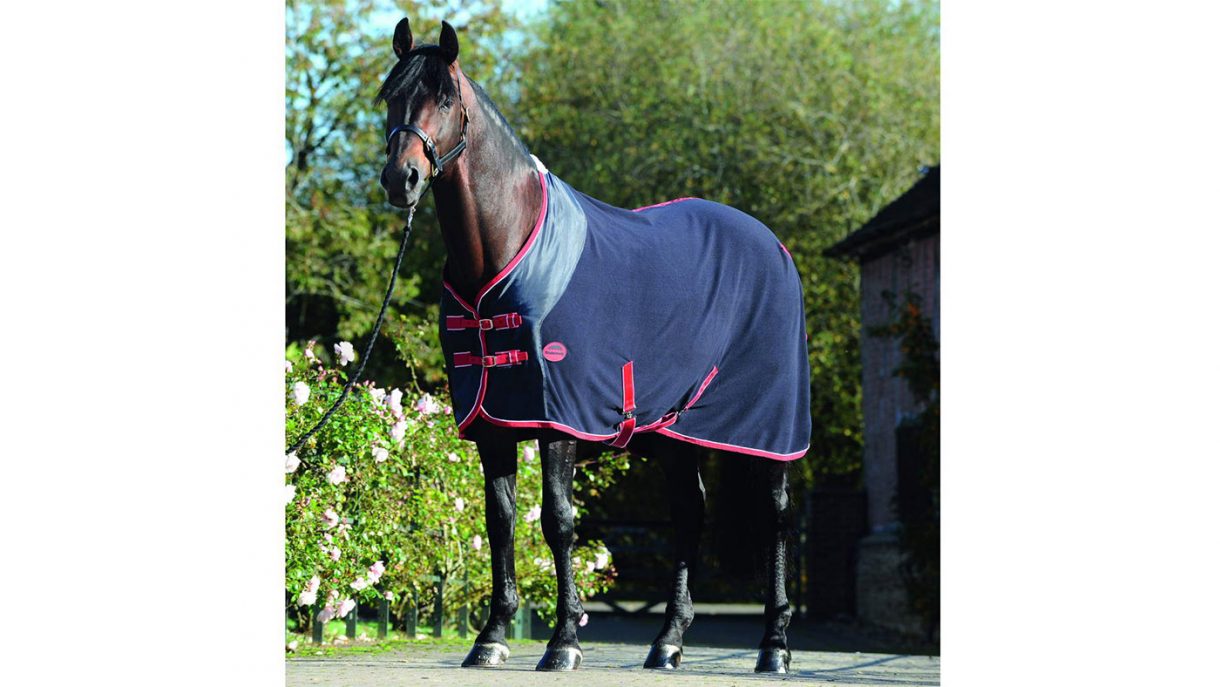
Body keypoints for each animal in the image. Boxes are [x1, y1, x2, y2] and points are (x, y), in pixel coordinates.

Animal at [376, 18, 811, 673]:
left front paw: (563, 643)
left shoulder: (558, 418)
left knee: (776, 516)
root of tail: (773, 246)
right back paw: (667, 642)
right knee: (689, 515)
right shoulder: (493, 423)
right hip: (678, 434)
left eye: (446, 101)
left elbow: (558, 522)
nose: (400, 179)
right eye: (390, 96)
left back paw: (774, 647)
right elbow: (500, 521)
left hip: (766, 429)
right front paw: (492, 637)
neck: (503, 249)